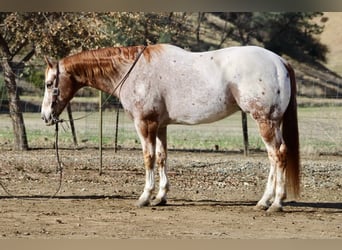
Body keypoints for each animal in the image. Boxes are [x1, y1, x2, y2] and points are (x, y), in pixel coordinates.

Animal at [42, 44, 300, 212]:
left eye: (48, 83)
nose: (46, 116)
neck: (132, 71)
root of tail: (280, 62)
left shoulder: (144, 123)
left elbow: (148, 158)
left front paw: (145, 196)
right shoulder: (160, 126)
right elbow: (162, 157)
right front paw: (160, 197)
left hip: (264, 120)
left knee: (277, 155)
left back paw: (276, 203)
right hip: (273, 122)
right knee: (274, 156)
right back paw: (264, 201)